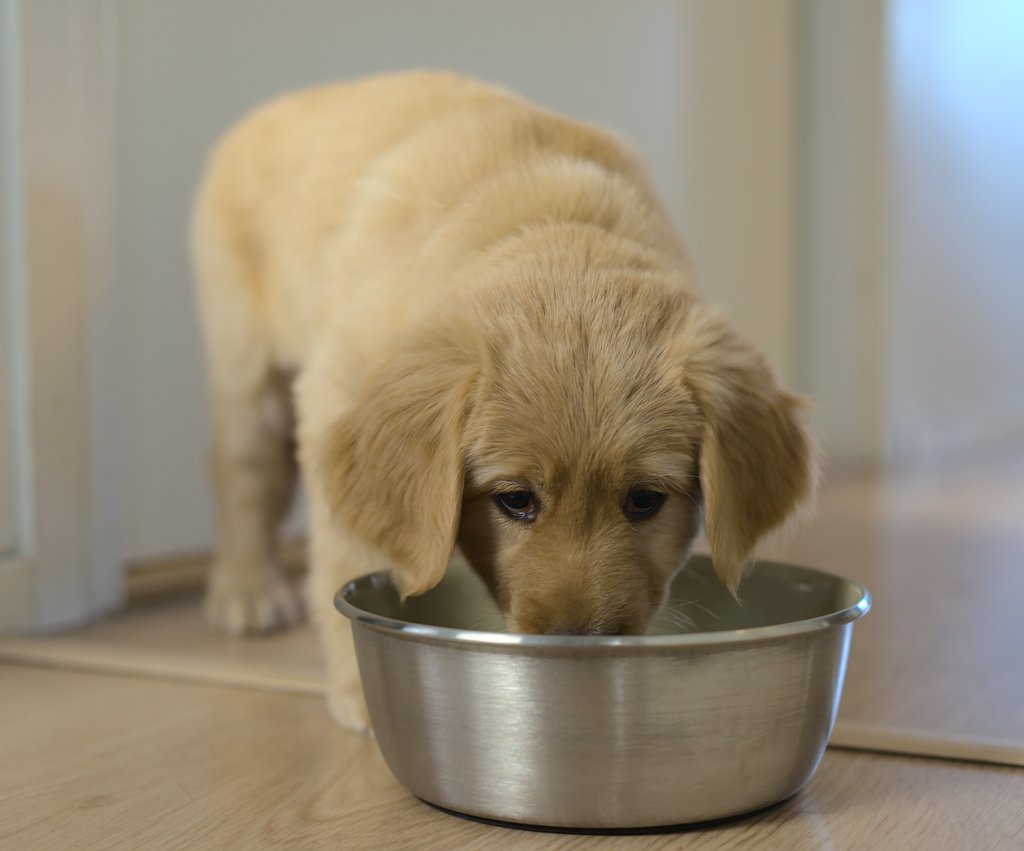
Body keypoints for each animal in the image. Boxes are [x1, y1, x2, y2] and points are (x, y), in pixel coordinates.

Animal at [192, 69, 815, 729]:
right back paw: (247, 591)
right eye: (515, 500)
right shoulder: (335, 394)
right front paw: (360, 692)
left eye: (645, 500)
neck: (552, 225)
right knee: (243, 473)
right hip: (243, 362)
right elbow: (348, 552)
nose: (578, 641)